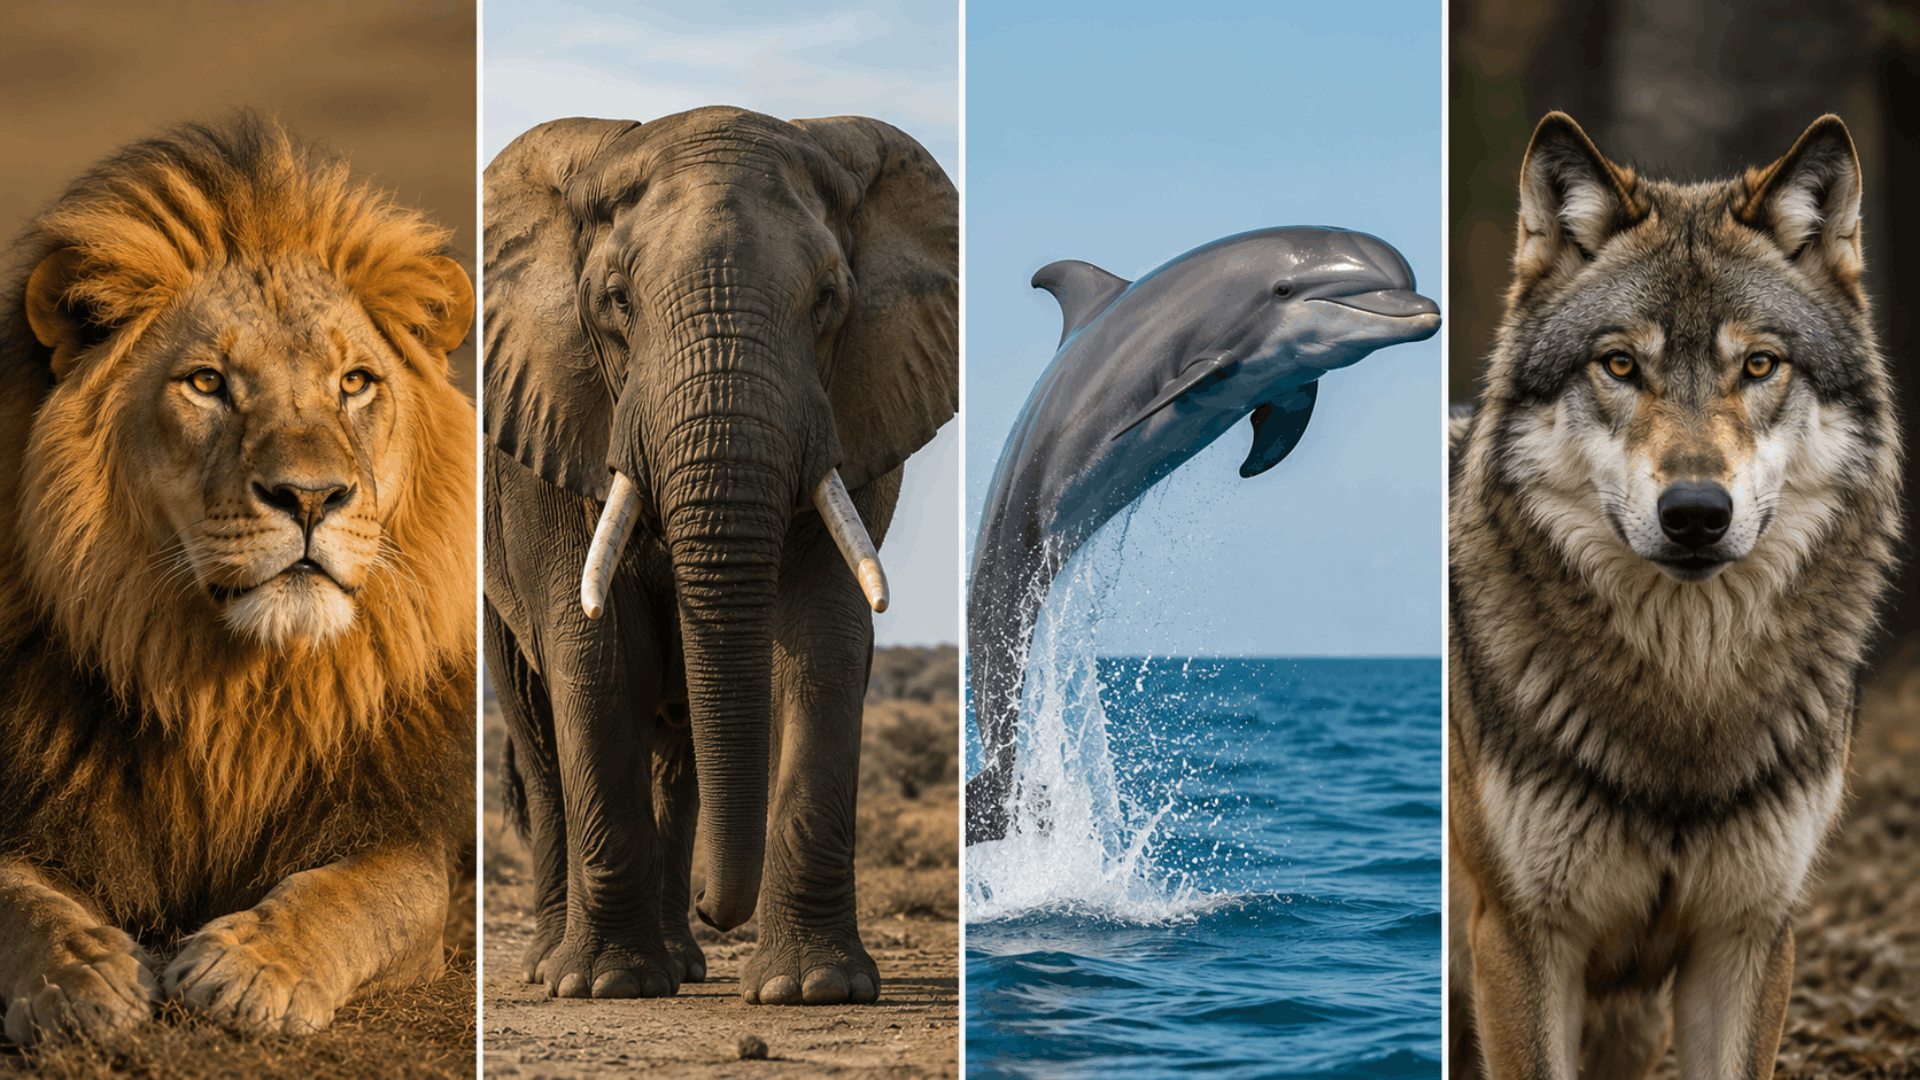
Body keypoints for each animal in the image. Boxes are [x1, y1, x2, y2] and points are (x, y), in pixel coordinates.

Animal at [0, 117, 476, 1043]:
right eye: (207, 383)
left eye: (355, 382)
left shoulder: (398, 825)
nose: (311, 496)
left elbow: (356, 895)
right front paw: (82, 977)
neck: (234, 696)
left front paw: (252, 967)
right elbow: (21, 905)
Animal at [481, 107, 956, 1006]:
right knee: (542, 736)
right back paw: (554, 966)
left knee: (680, 758)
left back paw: (683, 963)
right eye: (616, 301)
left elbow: (824, 645)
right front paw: (607, 987)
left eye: (829, 299)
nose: (716, 904)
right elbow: (592, 652)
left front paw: (814, 989)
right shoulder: (547, 431)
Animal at [1448, 112, 1902, 1078]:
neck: (1686, 695)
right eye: (1620, 364)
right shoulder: (1519, 940)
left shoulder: (1748, 938)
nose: (1696, 512)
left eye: (1760, 364)